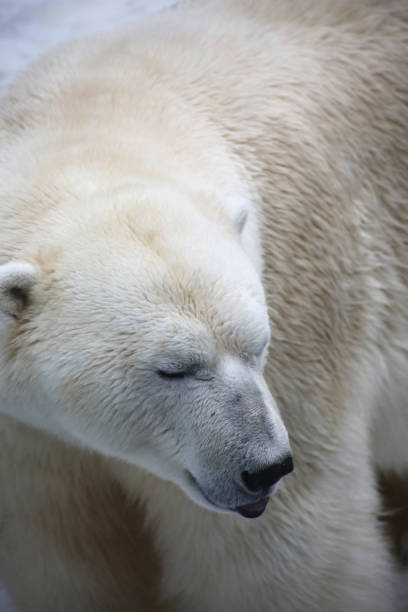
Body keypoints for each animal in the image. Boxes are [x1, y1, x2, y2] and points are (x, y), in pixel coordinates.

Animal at [0, 0, 406, 608]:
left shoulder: (306, 314)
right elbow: (67, 560)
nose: (266, 469)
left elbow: (292, 557)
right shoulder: (26, 440)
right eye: (174, 368)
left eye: (260, 344)